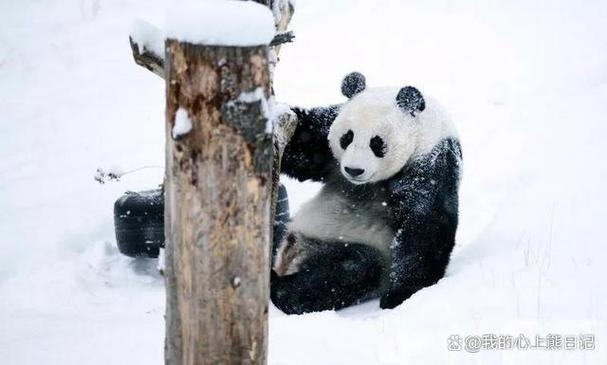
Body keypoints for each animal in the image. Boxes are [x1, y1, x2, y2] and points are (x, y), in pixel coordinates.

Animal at [270, 71, 460, 312]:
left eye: (377, 143)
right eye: (347, 138)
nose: (353, 170)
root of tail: (292, 258)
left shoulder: (432, 164)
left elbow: (425, 225)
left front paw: (398, 296)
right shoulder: (327, 136)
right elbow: (303, 144)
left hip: (348, 245)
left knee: (351, 270)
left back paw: (281, 288)